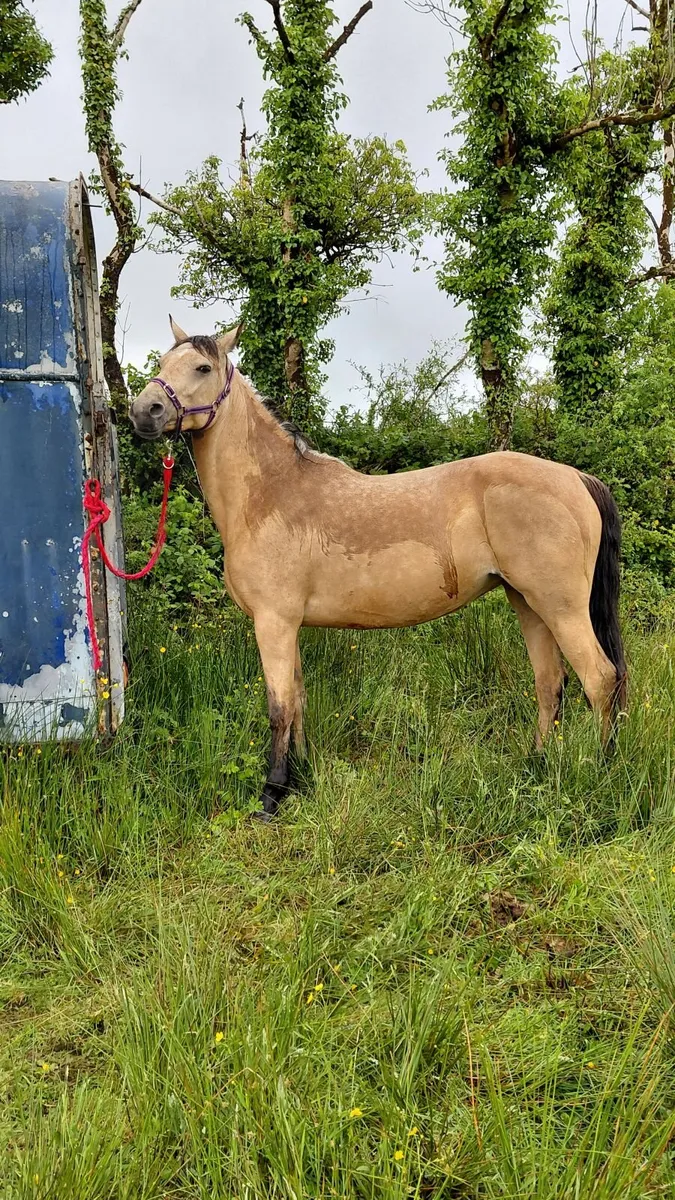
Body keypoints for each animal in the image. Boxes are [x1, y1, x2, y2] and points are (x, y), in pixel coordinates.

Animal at [129, 318, 627, 821]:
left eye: (202, 367)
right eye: (163, 362)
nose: (143, 411)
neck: (271, 494)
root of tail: (575, 478)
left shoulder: (273, 622)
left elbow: (279, 708)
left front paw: (271, 797)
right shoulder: (289, 626)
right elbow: (299, 700)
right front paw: (301, 779)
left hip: (561, 609)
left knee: (600, 680)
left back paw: (603, 772)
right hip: (527, 602)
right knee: (550, 684)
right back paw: (536, 766)